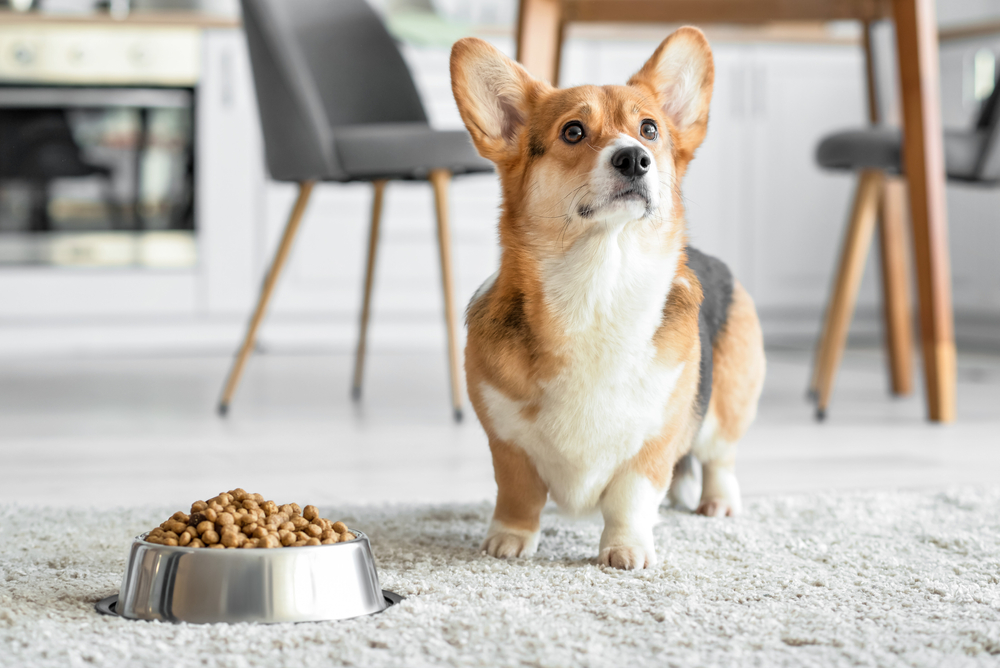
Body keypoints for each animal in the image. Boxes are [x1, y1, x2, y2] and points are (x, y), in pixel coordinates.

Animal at [452, 26, 764, 568]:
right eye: (573, 131)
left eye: (650, 130)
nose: (634, 158)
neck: (598, 287)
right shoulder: (507, 442)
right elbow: (518, 495)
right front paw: (509, 540)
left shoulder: (653, 442)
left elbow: (631, 498)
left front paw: (625, 550)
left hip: (727, 403)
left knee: (718, 458)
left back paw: (718, 502)